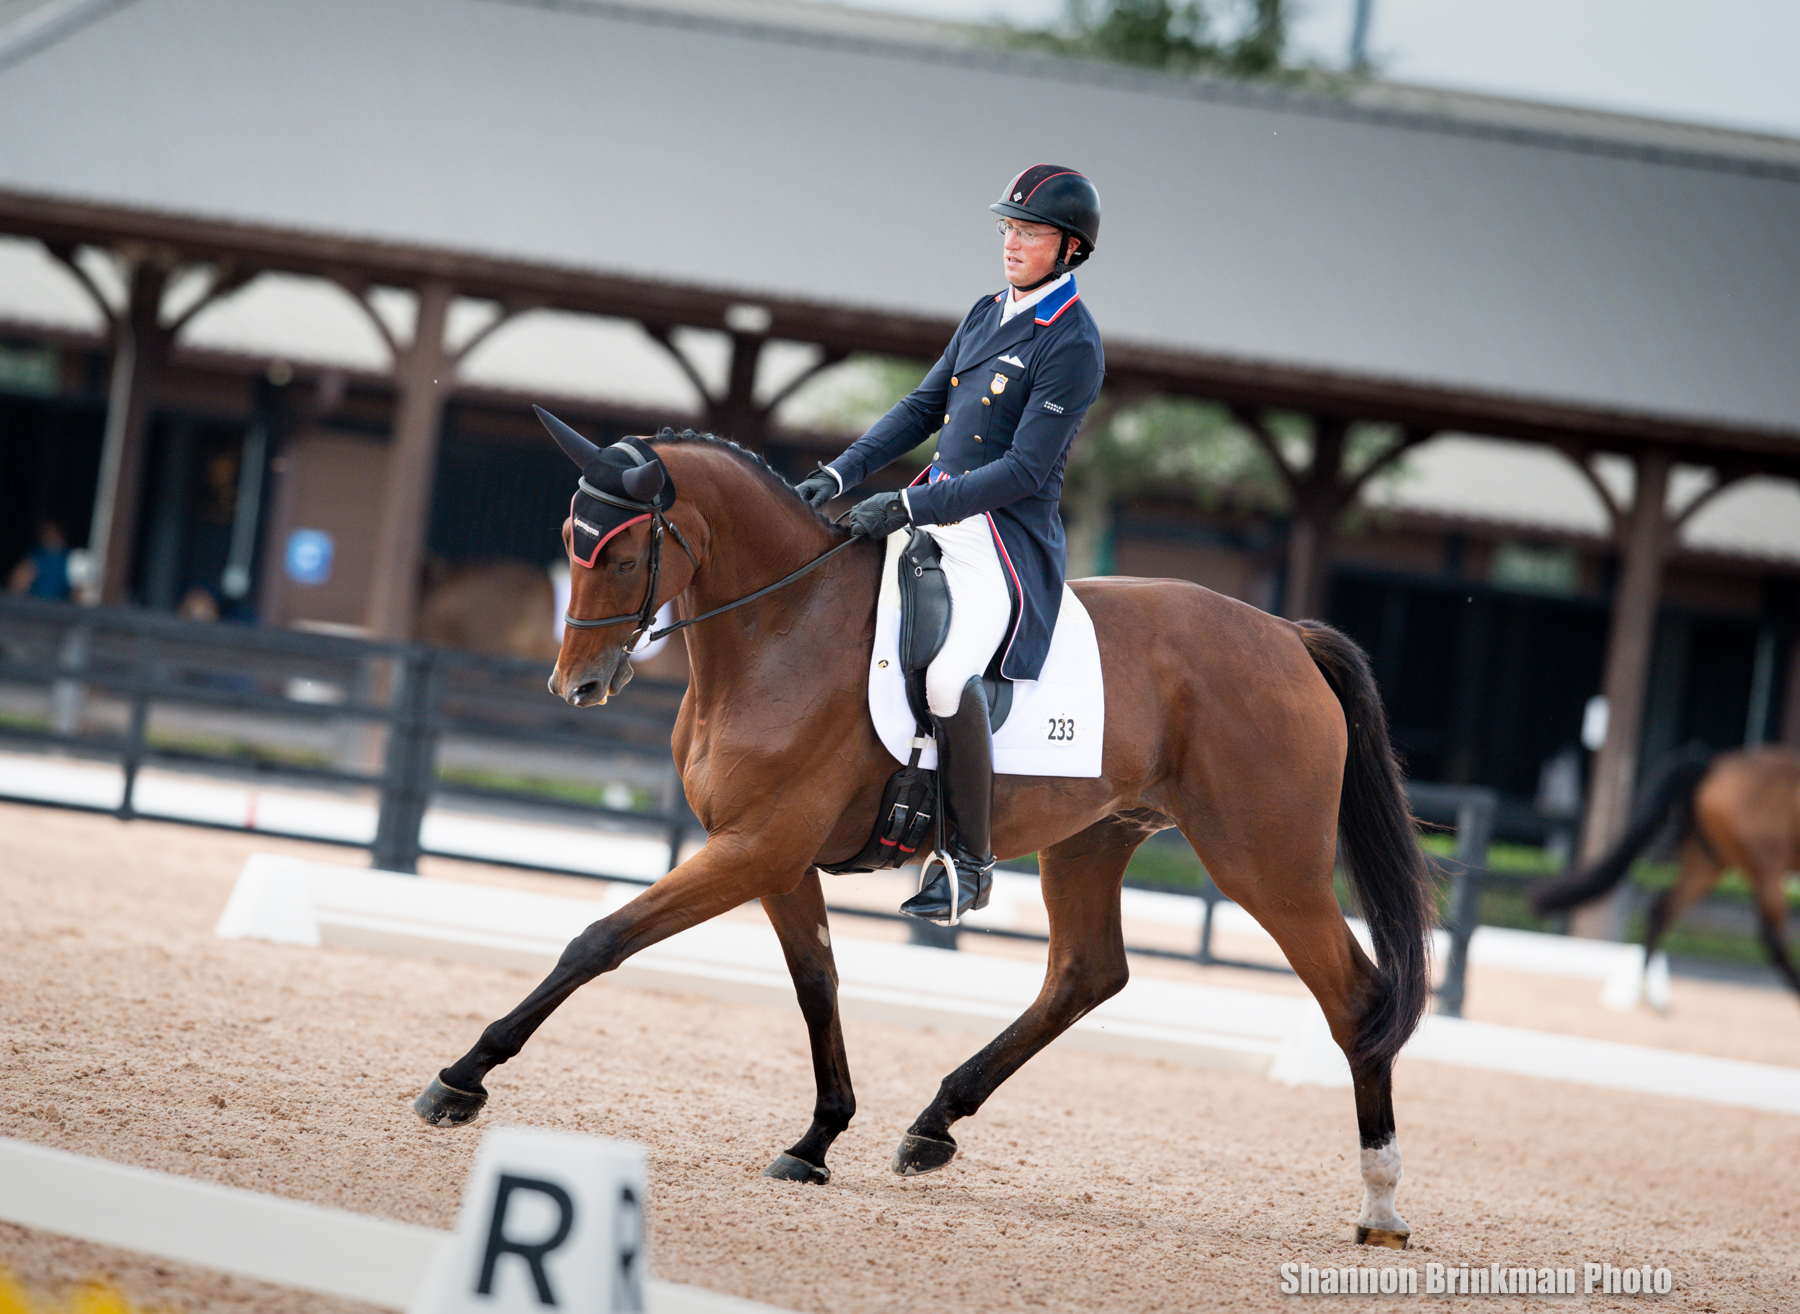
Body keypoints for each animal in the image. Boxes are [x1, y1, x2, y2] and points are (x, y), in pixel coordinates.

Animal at [412, 426, 1432, 1238]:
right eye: (569, 543)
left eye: (622, 557)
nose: (575, 686)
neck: (782, 626)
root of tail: (1286, 635)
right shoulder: (774, 857)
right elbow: (817, 983)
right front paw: (818, 1138)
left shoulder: (754, 848)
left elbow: (600, 939)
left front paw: (463, 1078)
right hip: (1093, 838)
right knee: (1086, 973)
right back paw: (934, 1123)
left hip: (1266, 861)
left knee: (1355, 1001)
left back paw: (1381, 1202)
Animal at [1533, 741, 1800, 1000]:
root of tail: (1714, 764)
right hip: (1764, 867)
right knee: (1771, 937)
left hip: (1709, 862)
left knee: (1663, 909)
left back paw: (1648, 992)